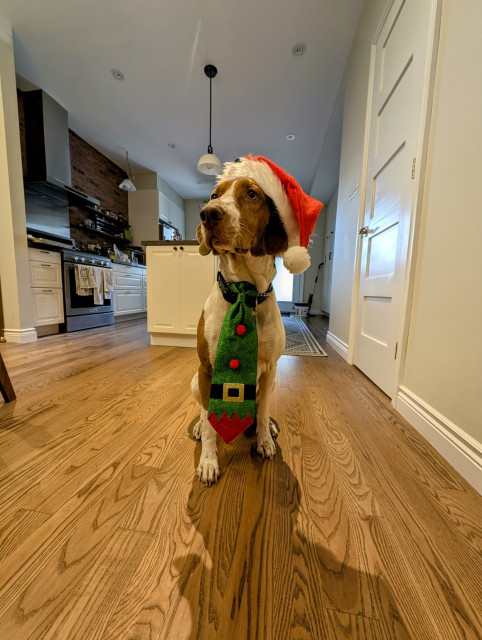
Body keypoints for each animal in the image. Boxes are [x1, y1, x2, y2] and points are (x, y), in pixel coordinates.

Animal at [190, 156, 322, 484]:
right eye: (214, 195)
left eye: (252, 194)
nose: (208, 214)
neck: (244, 291)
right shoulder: (207, 368)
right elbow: (210, 422)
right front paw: (209, 460)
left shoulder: (270, 368)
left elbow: (260, 413)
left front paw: (263, 439)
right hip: (195, 382)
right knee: (201, 412)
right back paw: (197, 426)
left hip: (270, 383)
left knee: (263, 407)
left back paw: (269, 427)